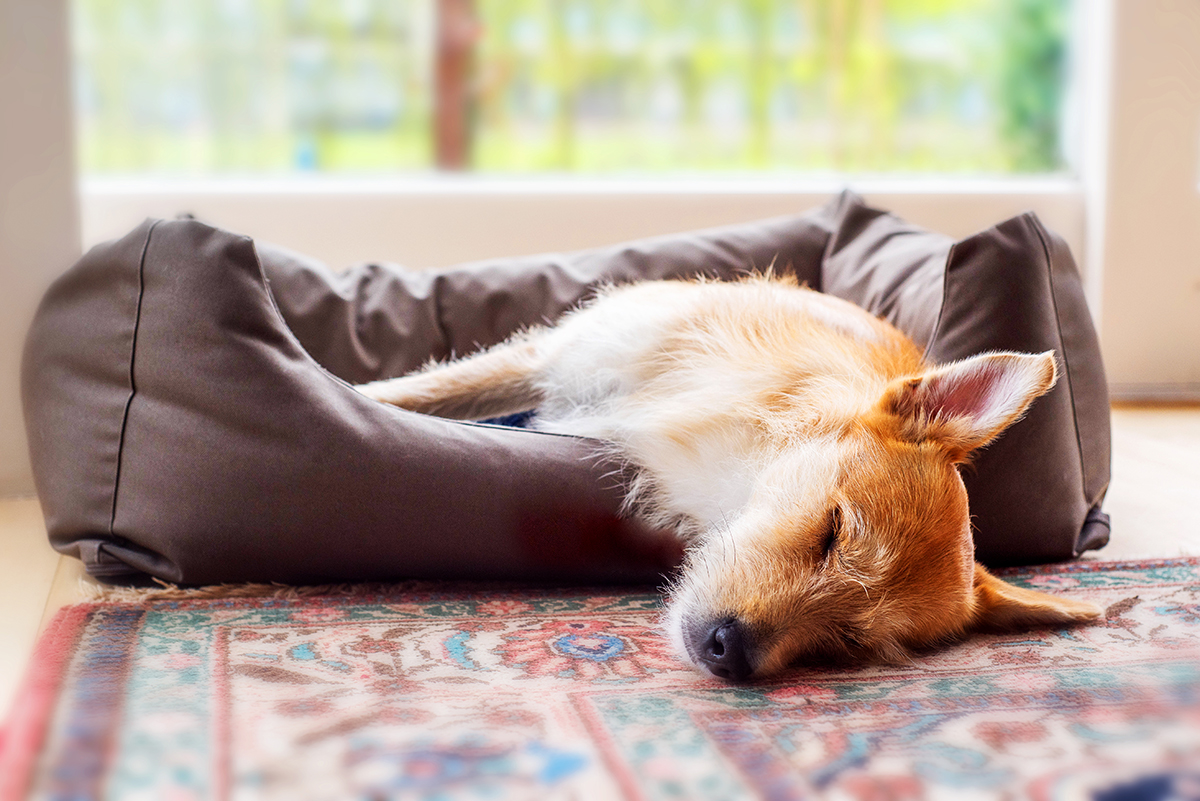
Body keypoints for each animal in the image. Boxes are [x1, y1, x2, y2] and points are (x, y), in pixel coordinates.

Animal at [352, 276, 1099, 681]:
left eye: (848, 642)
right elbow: (412, 394)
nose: (730, 652)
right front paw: (349, 395)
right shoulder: (555, 359)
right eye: (833, 531)